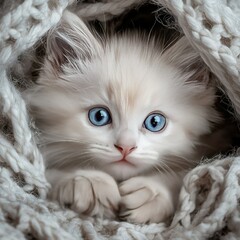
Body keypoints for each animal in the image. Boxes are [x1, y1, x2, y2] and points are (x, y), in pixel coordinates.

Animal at [24, 9, 221, 223]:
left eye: (155, 122)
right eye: (99, 116)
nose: (125, 147)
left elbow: (185, 176)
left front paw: (152, 192)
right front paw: (89, 180)